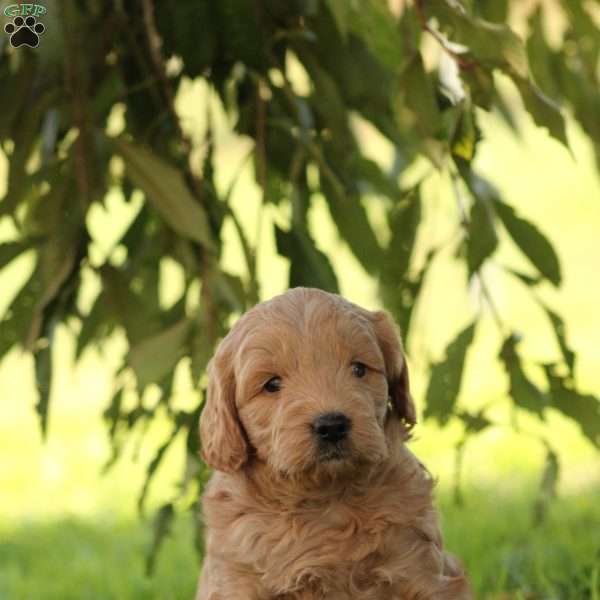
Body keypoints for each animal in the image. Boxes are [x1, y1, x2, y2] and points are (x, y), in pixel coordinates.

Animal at [195, 288, 472, 596]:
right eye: (271, 384)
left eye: (359, 369)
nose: (332, 425)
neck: (327, 497)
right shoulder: (238, 578)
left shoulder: (419, 567)